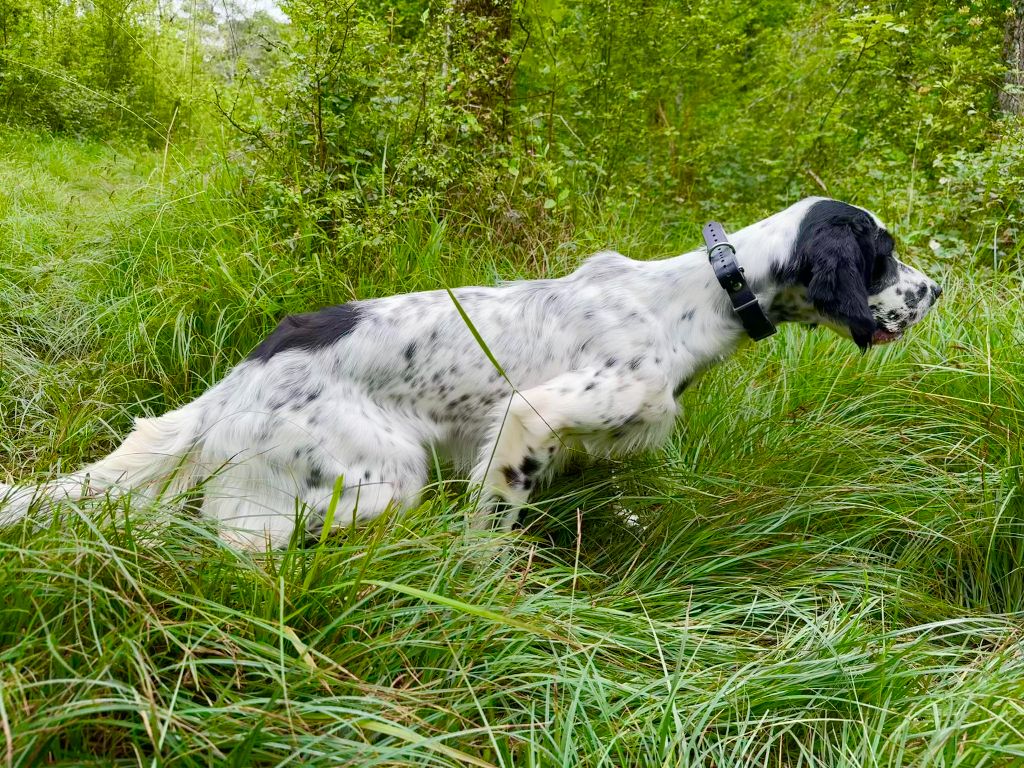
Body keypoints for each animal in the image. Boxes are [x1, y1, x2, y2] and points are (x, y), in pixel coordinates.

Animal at [2, 196, 942, 548]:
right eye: (885, 253)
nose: (937, 288)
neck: (699, 297)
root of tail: (240, 379)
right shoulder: (529, 418)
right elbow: (493, 531)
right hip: (376, 482)